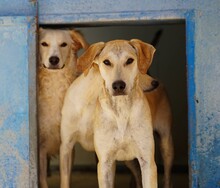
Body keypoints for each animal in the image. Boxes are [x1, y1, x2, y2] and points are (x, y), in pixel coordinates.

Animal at [38, 27, 88, 188]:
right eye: (44, 44)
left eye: (64, 44)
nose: (54, 59)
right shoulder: (41, 147)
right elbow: (42, 179)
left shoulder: (66, 144)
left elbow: (65, 177)